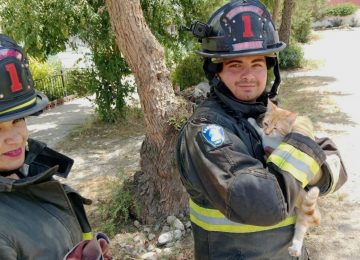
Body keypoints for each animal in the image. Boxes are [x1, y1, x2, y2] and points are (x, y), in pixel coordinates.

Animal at [249, 100, 322, 256]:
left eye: (276, 128)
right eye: (266, 123)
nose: (268, 131)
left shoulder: (269, 142)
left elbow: (261, 135)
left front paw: (252, 122)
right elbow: (261, 133)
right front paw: (256, 124)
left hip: (304, 207)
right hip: (303, 213)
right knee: (300, 228)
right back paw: (295, 248)